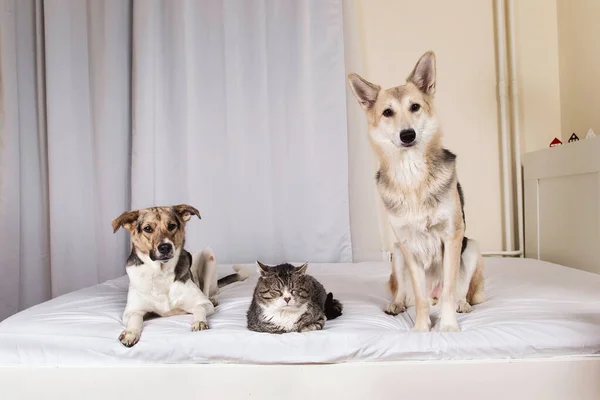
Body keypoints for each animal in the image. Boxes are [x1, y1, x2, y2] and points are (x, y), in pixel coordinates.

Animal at [112, 205, 248, 346]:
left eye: (171, 226)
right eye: (148, 228)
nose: (165, 247)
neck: (161, 272)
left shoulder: (203, 303)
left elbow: (200, 308)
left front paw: (199, 322)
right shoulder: (130, 312)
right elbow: (135, 316)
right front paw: (130, 333)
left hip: (208, 254)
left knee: (210, 291)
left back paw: (213, 298)